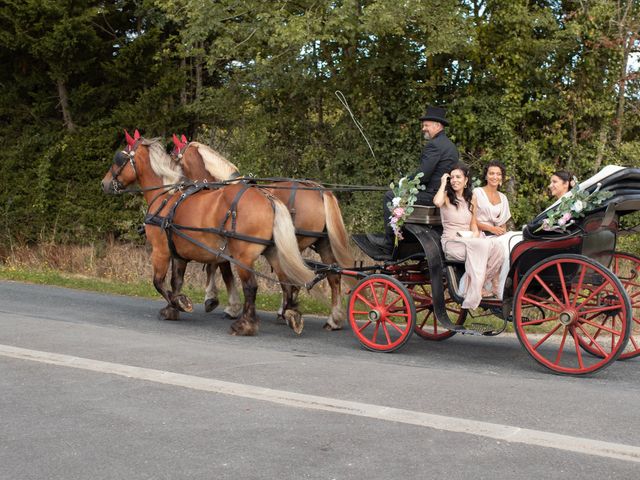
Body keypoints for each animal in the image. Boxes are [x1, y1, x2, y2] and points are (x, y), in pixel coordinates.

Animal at [100, 129, 318, 336]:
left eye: (119, 158)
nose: (104, 183)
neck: (167, 196)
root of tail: (268, 198)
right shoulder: (180, 253)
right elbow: (176, 281)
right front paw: (173, 308)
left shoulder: (161, 250)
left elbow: (158, 282)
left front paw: (181, 302)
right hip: (273, 252)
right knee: (286, 282)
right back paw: (291, 315)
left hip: (244, 256)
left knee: (251, 287)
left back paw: (246, 325)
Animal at [172, 134, 352, 330]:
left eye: (175, 159)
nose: (175, 188)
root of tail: (320, 190)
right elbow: (216, 266)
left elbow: (220, 269)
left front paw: (221, 303)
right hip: (323, 243)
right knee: (333, 277)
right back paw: (333, 319)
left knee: (294, 278)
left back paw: (288, 311)